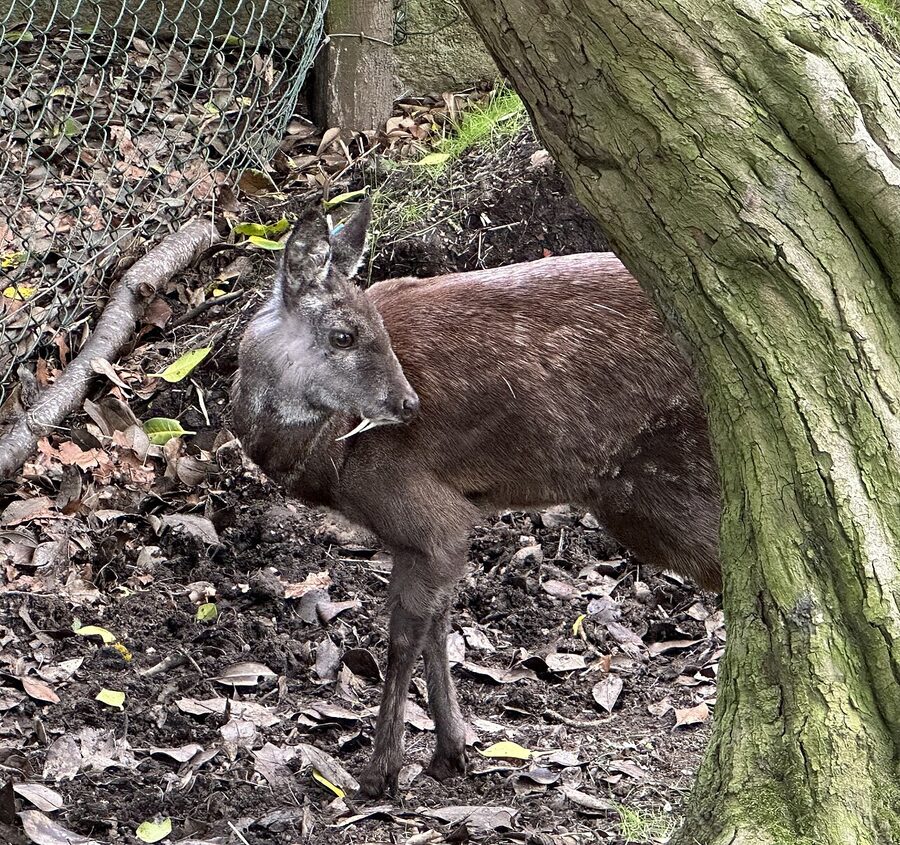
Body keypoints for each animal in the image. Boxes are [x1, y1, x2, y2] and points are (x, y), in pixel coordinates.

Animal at [230, 200, 721, 798]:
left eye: (376, 331)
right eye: (344, 335)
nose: (408, 404)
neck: (332, 457)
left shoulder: (424, 511)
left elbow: (404, 635)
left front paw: (380, 772)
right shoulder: (427, 530)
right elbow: (438, 624)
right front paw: (451, 752)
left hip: (665, 484)